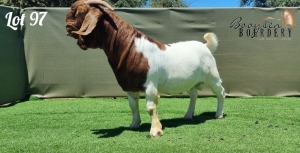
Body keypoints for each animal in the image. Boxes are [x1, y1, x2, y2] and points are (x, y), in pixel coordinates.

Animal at [66, 0, 225, 138]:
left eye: (78, 13)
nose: (67, 28)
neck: (133, 49)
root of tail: (205, 46)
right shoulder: (129, 86)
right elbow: (132, 106)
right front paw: (134, 124)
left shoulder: (150, 85)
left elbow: (150, 107)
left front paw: (156, 131)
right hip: (190, 81)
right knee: (193, 94)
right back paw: (188, 115)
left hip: (213, 76)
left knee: (220, 93)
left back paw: (219, 115)